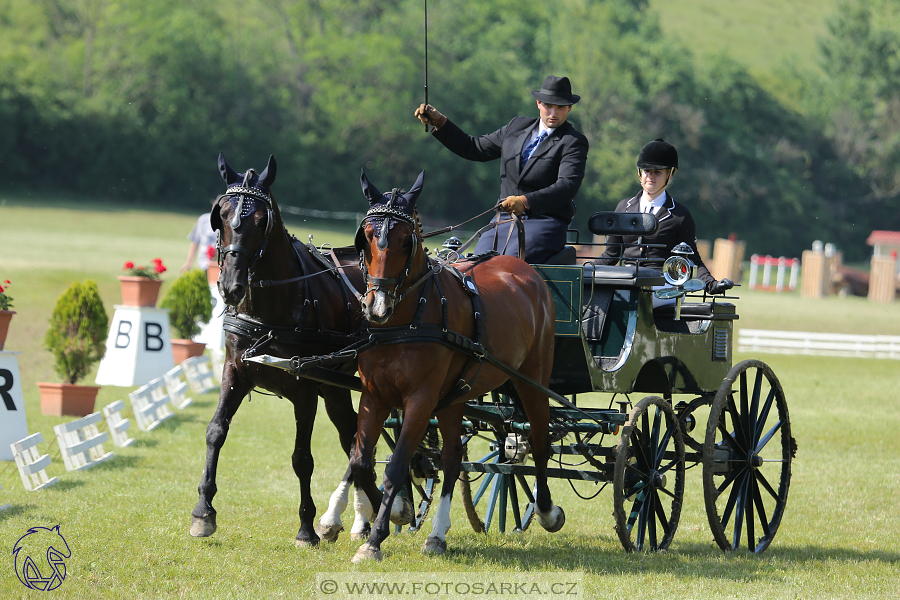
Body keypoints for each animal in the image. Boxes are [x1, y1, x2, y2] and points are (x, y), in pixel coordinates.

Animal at [190, 152, 370, 548]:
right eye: (221, 214)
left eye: (261, 220)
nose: (230, 287)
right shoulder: (235, 370)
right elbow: (215, 431)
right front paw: (203, 511)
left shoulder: (305, 389)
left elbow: (302, 458)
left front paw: (306, 527)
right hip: (336, 389)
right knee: (352, 436)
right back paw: (366, 514)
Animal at [344, 171, 564, 564]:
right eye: (367, 235)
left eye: (406, 241)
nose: (378, 306)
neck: (406, 319)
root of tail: (523, 266)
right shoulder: (374, 395)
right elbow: (361, 462)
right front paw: (394, 514)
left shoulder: (420, 399)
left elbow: (397, 465)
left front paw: (375, 538)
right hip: (455, 397)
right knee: (451, 458)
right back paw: (437, 535)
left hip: (532, 380)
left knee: (539, 440)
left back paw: (547, 512)